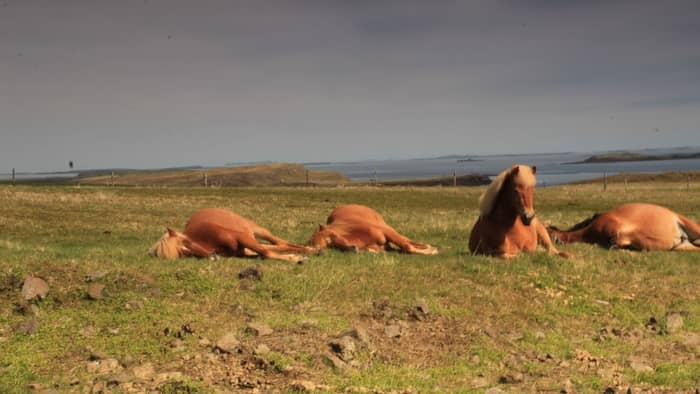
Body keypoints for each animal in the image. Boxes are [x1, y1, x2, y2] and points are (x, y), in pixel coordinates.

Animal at [150, 208, 312, 264]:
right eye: (182, 253)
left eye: (187, 242)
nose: (212, 257)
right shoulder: (242, 250)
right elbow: (265, 252)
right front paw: (295, 257)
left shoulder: (242, 237)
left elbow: (266, 252)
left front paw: (296, 258)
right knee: (279, 246)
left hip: (258, 231)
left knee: (279, 242)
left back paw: (309, 249)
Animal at [308, 203, 438, 255]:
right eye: (331, 246)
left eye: (331, 237)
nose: (353, 249)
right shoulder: (380, 247)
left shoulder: (387, 232)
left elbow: (407, 246)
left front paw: (431, 251)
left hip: (388, 228)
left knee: (408, 241)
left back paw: (429, 247)